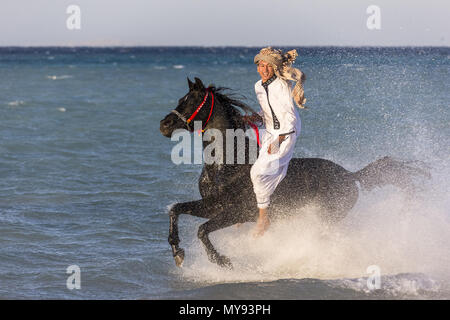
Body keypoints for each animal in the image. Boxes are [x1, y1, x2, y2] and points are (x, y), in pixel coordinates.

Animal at [160, 78, 428, 270]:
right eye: (181, 98)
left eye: (193, 100)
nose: (164, 124)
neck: (226, 165)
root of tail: (352, 176)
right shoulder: (213, 205)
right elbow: (176, 209)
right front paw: (177, 252)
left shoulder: (237, 211)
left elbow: (202, 230)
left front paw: (222, 261)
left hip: (326, 217)